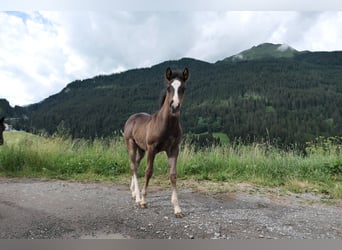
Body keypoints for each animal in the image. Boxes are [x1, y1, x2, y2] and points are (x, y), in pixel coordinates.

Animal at [123, 66, 190, 217]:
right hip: (131, 144)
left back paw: (133, 192)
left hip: (141, 149)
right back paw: (137, 197)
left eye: (183, 88)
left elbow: (173, 175)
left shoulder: (174, 149)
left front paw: (177, 208)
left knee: (136, 164)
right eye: (169, 88)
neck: (166, 125)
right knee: (133, 166)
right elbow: (149, 171)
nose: (175, 106)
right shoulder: (152, 148)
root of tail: (131, 118)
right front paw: (143, 201)